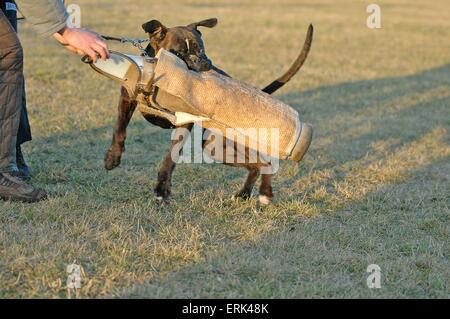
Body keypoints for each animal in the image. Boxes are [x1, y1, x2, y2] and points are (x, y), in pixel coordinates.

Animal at [104, 18, 312, 205]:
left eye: (201, 49)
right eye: (178, 53)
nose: (202, 61)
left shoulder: (184, 121)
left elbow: (171, 155)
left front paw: (162, 189)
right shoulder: (126, 99)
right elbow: (119, 129)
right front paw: (113, 157)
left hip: (218, 144)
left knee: (264, 162)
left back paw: (263, 194)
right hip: (217, 147)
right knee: (256, 165)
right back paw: (244, 194)